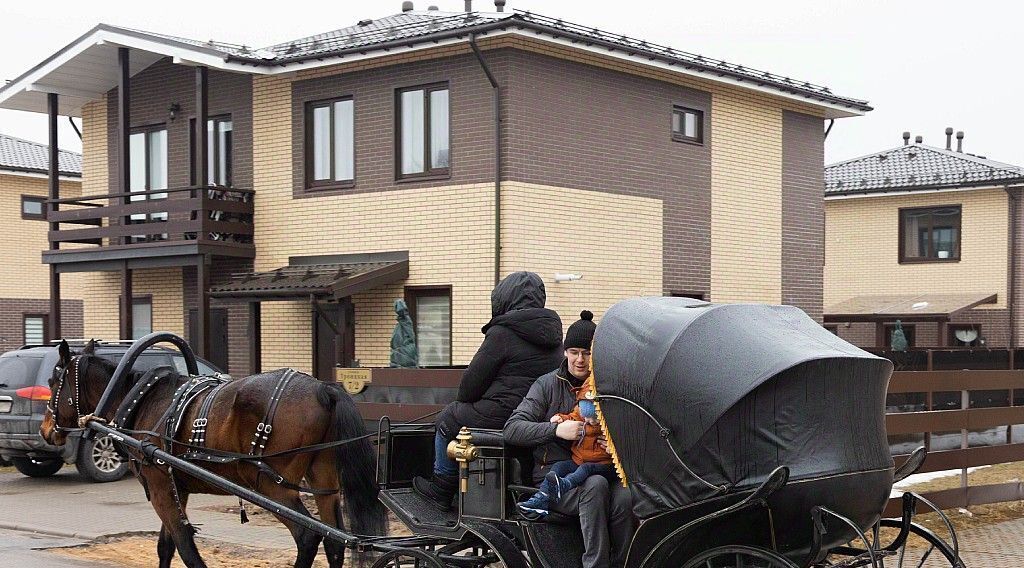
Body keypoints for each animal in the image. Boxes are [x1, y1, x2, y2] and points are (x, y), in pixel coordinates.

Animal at [39, 339, 387, 564]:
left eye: (54, 381)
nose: (45, 430)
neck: (143, 400)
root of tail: (323, 389)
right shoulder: (175, 487)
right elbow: (165, 547)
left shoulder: (160, 486)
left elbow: (185, 546)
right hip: (323, 481)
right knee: (333, 541)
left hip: (271, 485)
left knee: (307, 536)